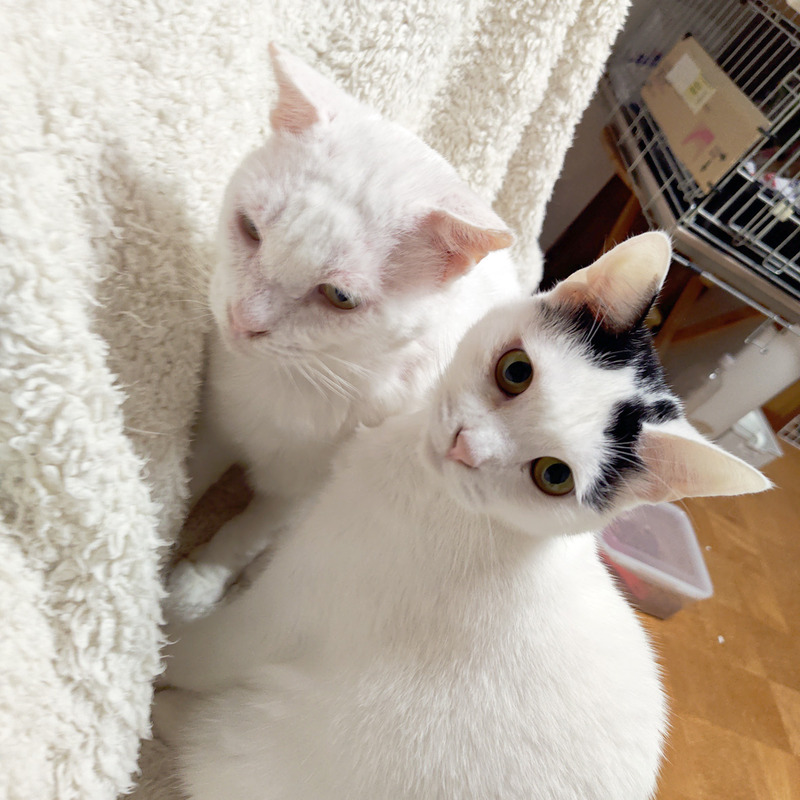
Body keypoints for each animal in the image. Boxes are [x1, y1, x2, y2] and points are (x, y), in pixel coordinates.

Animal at [156, 233, 770, 800]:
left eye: (554, 475)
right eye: (516, 371)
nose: (466, 446)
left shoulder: (292, 610)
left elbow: (212, 644)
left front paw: (159, 646)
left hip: (251, 741)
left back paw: (171, 716)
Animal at [167, 43, 522, 620]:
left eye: (339, 297)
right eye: (250, 228)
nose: (243, 320)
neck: (288, 388)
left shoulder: (300, 494)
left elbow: (243, 534)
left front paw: (197, 583)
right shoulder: (216, 423)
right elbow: (186, 481)